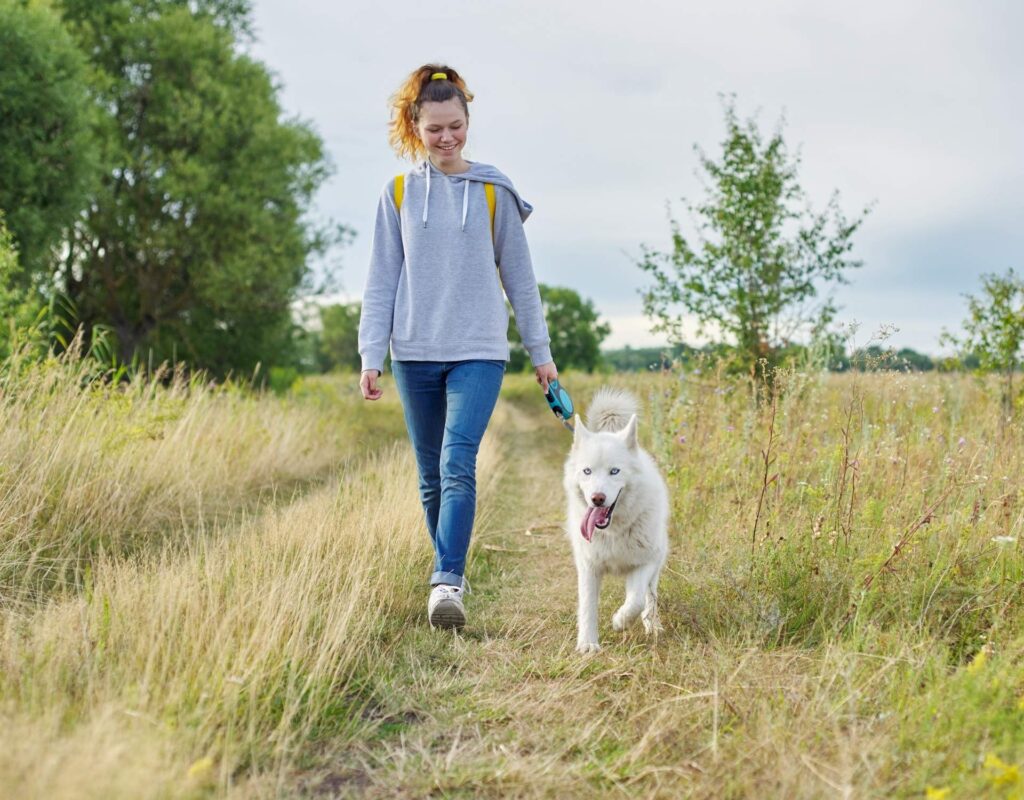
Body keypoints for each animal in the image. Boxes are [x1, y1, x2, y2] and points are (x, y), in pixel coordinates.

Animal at [561, 389, 671, 655]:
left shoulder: (644, 562)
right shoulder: (588, 567)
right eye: (587, 471)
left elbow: (636, 599)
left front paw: (620, 621)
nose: (597, 498)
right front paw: (588, 644)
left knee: (650, 596)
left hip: (658, 559)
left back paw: (653, 625)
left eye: (614, 471)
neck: (613, 532)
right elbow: (588, 607)